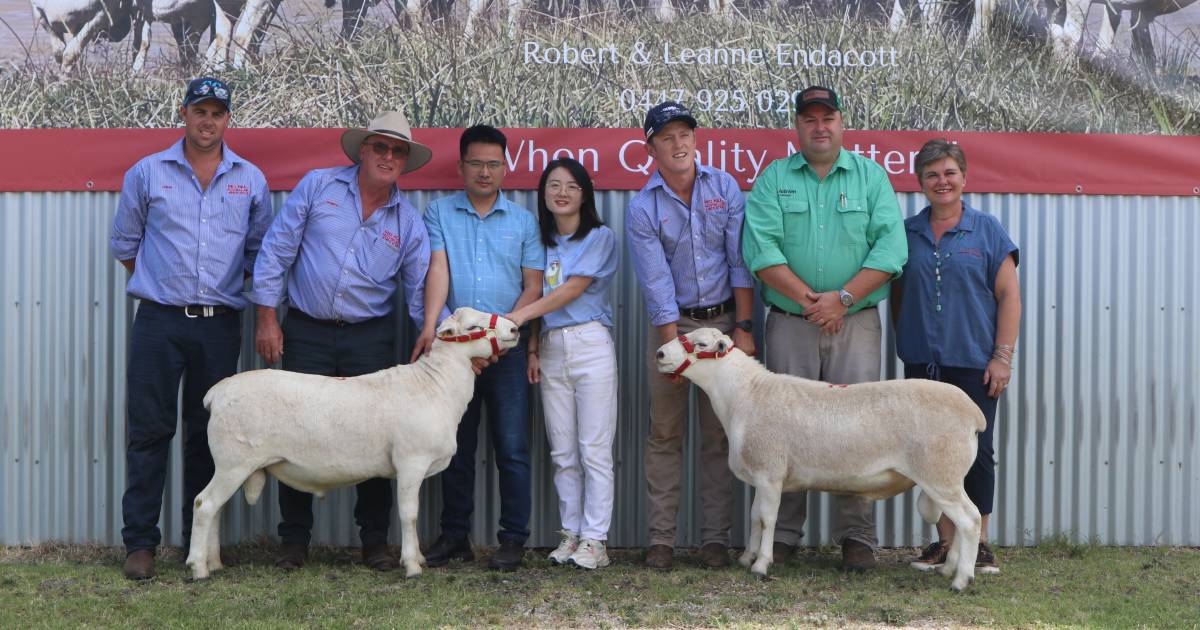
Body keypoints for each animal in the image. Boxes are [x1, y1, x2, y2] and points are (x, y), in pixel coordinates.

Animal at [184, 307, 518, 578]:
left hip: (229, 465)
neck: (435, 385)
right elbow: (409, 514)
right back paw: (198, 568)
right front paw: (412, 566)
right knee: (204, 505)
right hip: (233, 462)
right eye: (474, 326)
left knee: (215, 509)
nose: (514, 329)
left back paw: (214, 563)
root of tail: (216, 394)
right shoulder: (411, 462)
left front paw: (419, 559)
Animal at [657, 328, 984, 590]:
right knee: (962, 522)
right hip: (948, 479)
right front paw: (747, 557)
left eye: (701, 344)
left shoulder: (770, 473)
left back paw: (960, 580)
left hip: (940, 475)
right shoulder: (762, 476)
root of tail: (973, 414)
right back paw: (947, 569)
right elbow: (754, 516)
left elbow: (767, 518)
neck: (744, 396)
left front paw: (761, 564)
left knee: (970, 520)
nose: (659, 354)